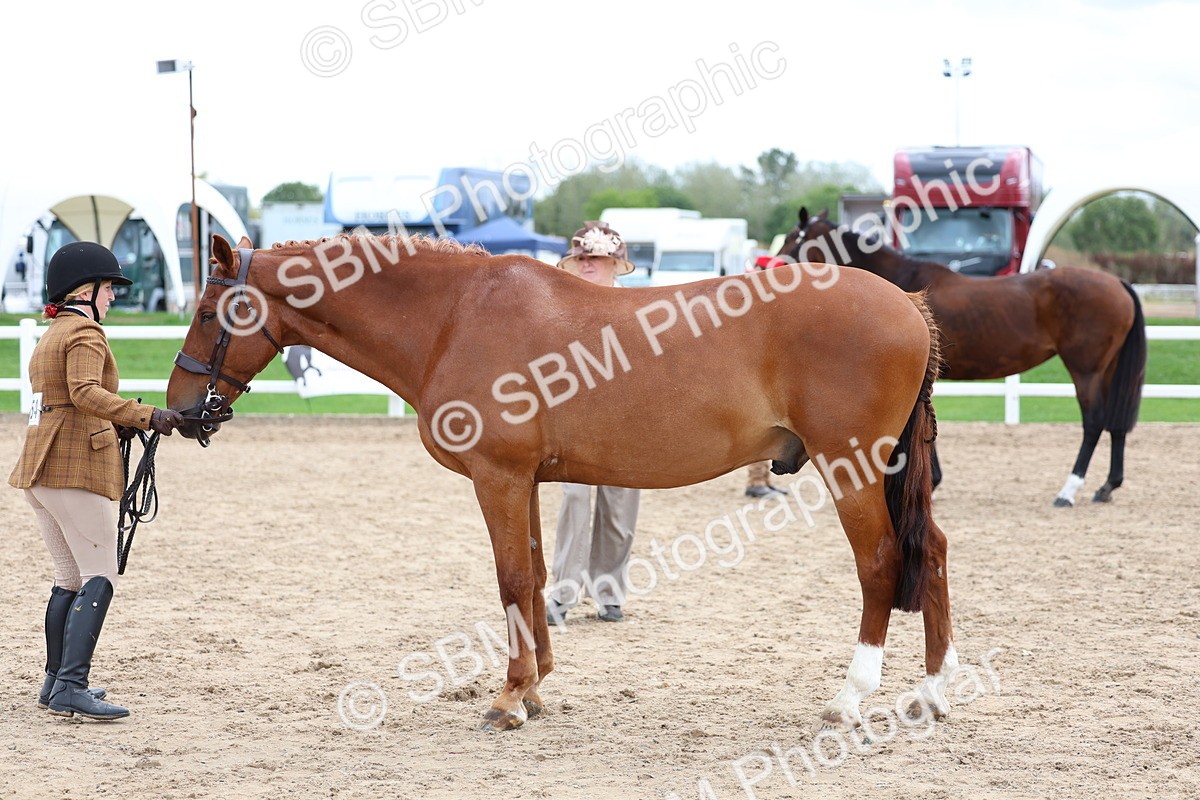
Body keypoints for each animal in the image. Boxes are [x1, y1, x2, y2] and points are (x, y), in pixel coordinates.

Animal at [166, 232, 957, 733]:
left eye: (208, 312)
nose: (179, 409)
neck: (454, 318)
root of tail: (907, 305)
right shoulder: (532, 483)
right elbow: (539, 573)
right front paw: (539, 685)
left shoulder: (498, 478)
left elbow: (512, 578)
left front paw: (510, 697)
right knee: (935, 552)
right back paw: (934, 692)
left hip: (852, 469)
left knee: (882, 564)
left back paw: (850, 699)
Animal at [779, 208, 1147, 506]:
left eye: (794, 238)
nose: (774, 267)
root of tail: (1118, 282)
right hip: (1108, 369)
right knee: (1115, 421)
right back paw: (1107, 487)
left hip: (1086, 370)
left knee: (1094, 421)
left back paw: (1068, 490)